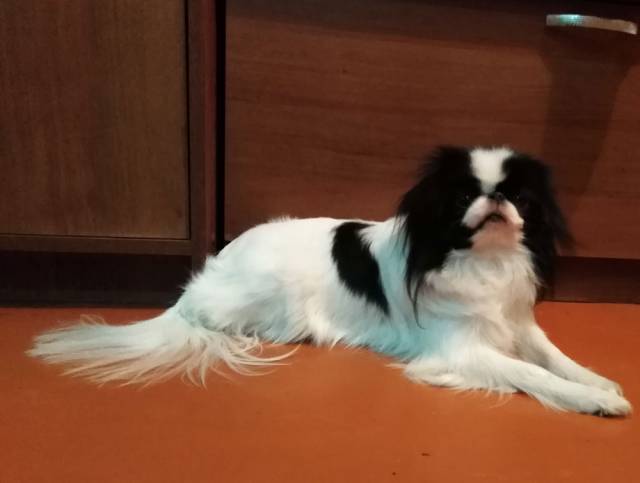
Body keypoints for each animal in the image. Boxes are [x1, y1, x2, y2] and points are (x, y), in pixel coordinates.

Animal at [29, 146, 631, 416]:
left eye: (521, 198)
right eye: (463, 195)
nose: (496, 200)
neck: (484, 261)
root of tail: (198, 284)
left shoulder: (515, 323)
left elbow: (553, 357)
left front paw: (599, 382)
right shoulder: (460, 349)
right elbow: (532, 373)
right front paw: (591, 401)